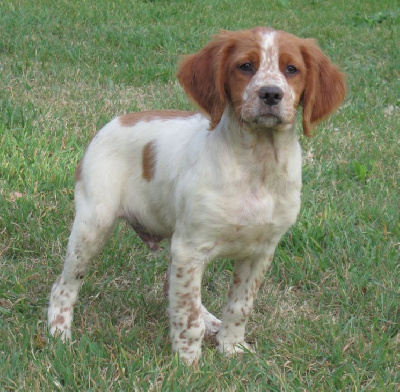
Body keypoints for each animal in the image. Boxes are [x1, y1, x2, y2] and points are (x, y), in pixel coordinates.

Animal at [48, 27, 346, 364]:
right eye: (245, 66)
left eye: (292, 69)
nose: (270, 94)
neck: (257, 165)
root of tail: (113, 121)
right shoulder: (190, 248)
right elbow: (186, 313)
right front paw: (187, 361)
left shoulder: (261, 251)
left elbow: (239, 306)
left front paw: (232, 347)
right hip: (93, 226)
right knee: (65, 284)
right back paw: (59, 331)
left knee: (172, 287)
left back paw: (210, 321)